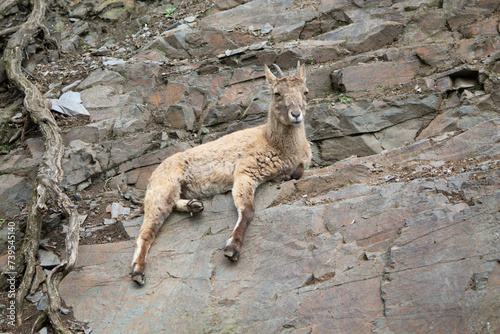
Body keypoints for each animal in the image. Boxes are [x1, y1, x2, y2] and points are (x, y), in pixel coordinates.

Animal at [133, 62, 312, 284]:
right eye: (277, 93)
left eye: (305, 92)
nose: (296, 115)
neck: (277, 144)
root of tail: (153, 174)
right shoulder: (245, 171)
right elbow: (248, 210)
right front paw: (232, 248)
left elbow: (298, 172)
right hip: (162, 188)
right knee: (145, 233)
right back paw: (138, 271)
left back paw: (194, 205)